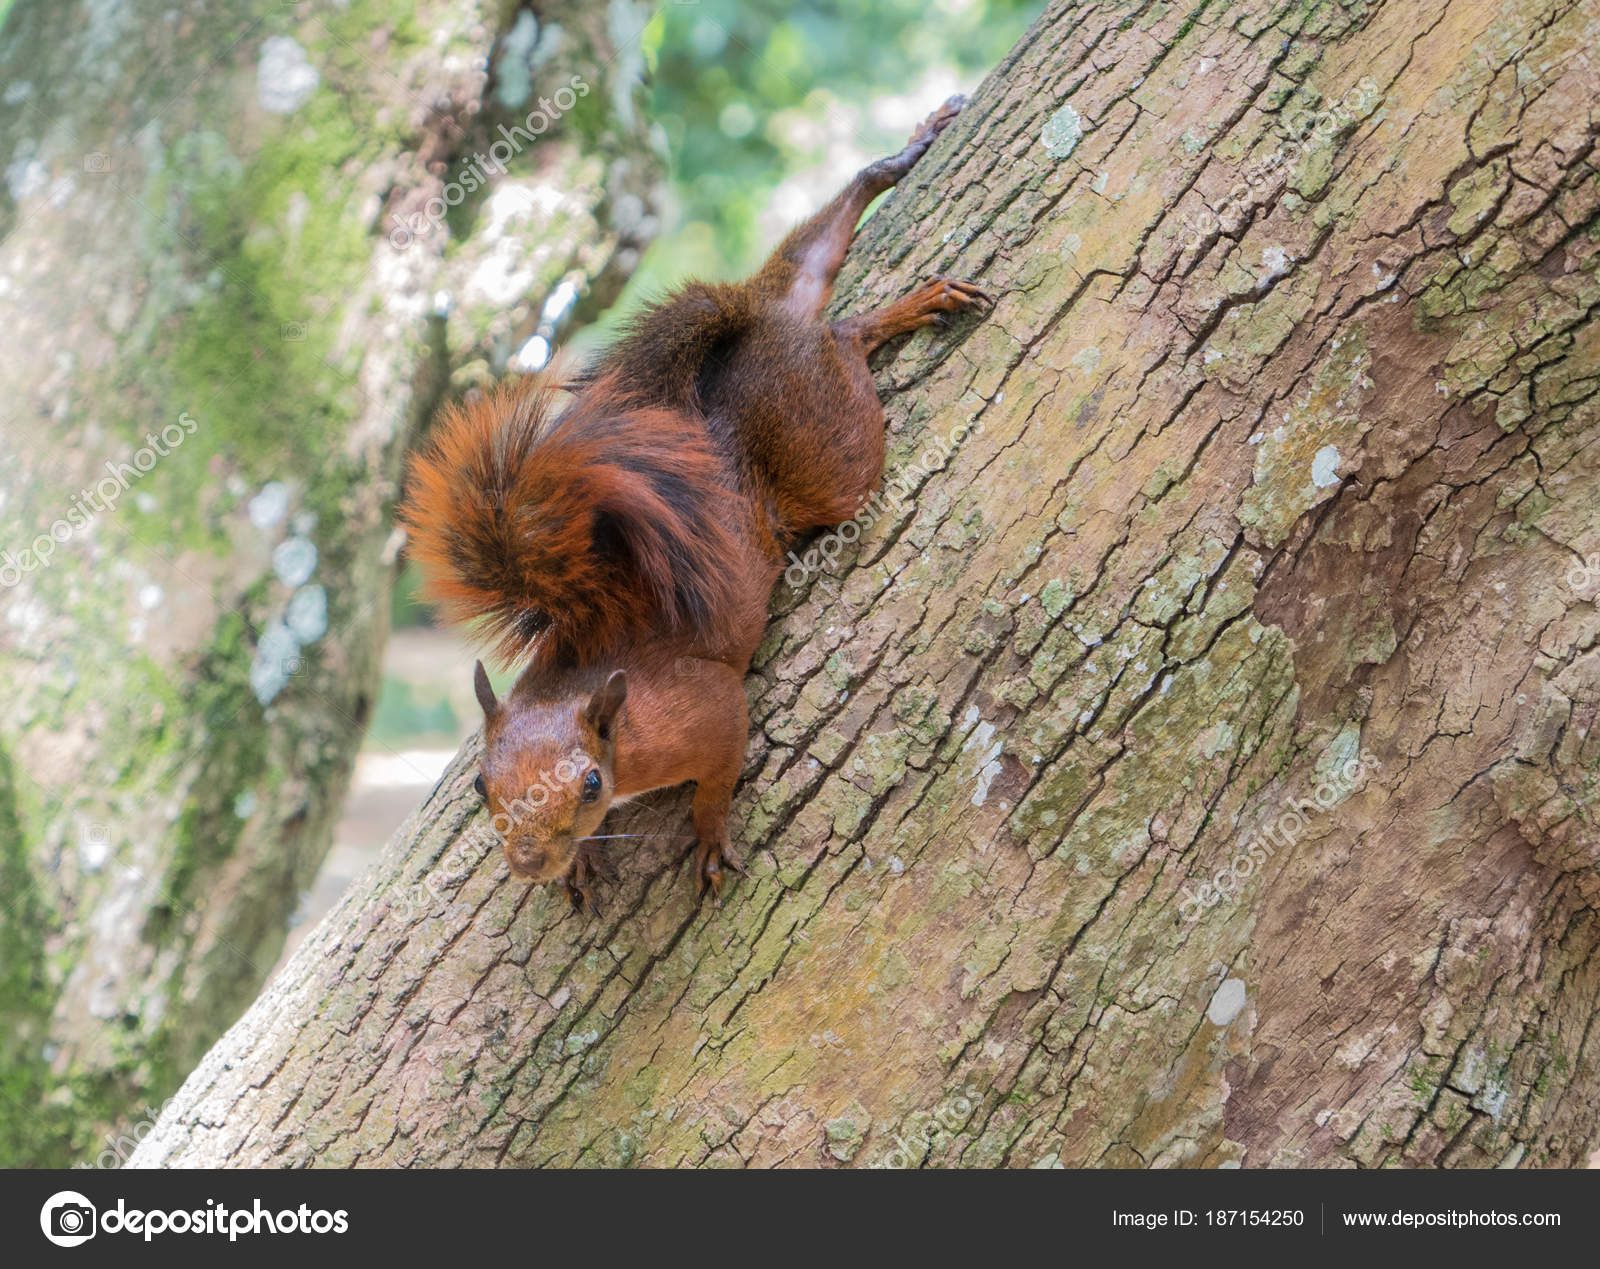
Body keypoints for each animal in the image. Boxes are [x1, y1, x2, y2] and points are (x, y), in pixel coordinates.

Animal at [400, 94, 985, 915]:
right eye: (482, 785)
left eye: (591, 784)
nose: (530, 861)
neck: (604, 711)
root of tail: (762, 330)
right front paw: (581, 866)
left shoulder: (706, 710)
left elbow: (720, 772)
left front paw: (706, 836)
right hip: (787, 316)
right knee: (809, 258)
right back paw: (903, 157)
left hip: (827, 449)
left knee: (842, 341)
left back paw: (897, 311)